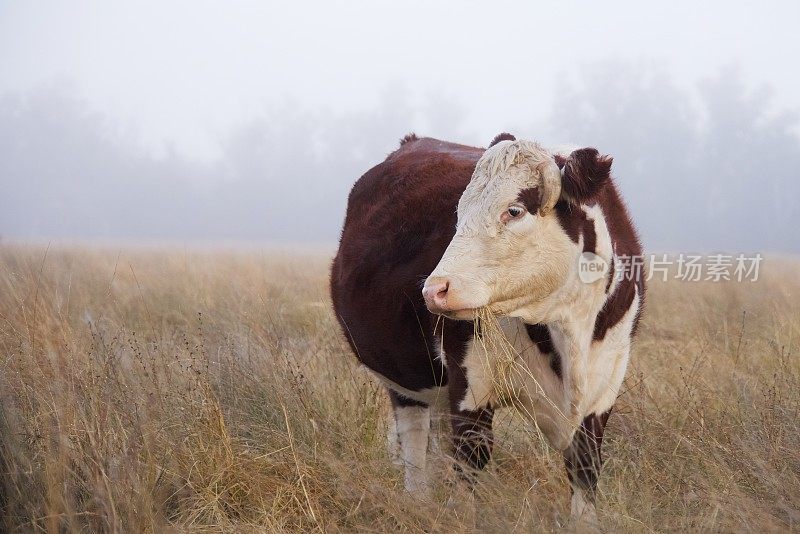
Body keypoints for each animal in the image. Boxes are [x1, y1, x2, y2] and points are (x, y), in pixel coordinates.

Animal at [328, 134, 648, 528]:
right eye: (459, 213)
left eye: (515, 211)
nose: (434, 290)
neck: (569, 335)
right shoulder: (471, 385)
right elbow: (469, 464)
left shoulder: (603, 388)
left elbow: (585, 469)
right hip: (405, 378)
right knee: (415, 442)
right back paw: (418, 501)